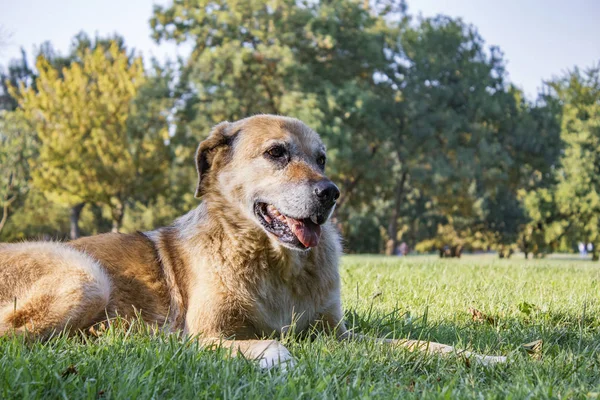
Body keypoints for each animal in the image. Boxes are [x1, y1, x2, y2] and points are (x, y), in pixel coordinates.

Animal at [0, 114, 506, 368]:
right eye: (276, 153)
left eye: (321, 158)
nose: (331, 193)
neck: (275, 260)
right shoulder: (209, 334)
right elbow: (272, 346)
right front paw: (276, 359)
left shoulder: (336, 332)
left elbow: (419, 345)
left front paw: (483, 357)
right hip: (86, 276)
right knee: (17, 338)